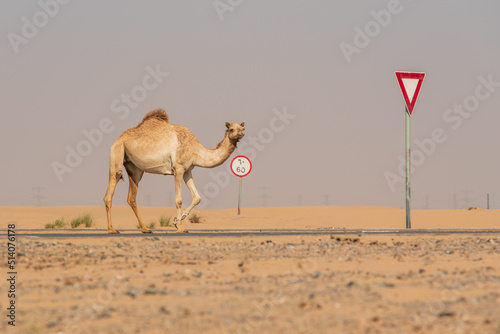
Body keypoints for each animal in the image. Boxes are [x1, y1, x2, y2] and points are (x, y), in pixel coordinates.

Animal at [104, 109, 245, 232]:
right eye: (231, 129)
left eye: (243, 128)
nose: (240, 134)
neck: (195, 149)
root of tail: (118, 139)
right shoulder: (178, 168)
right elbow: (178, 200)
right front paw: (181, 228)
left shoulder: (187, 170)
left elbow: (197, 198)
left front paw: (176, 222)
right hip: (117, 152)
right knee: (112, 185)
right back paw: (112, 229)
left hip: (135, 169)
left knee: (131, 198)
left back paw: (145, 229)